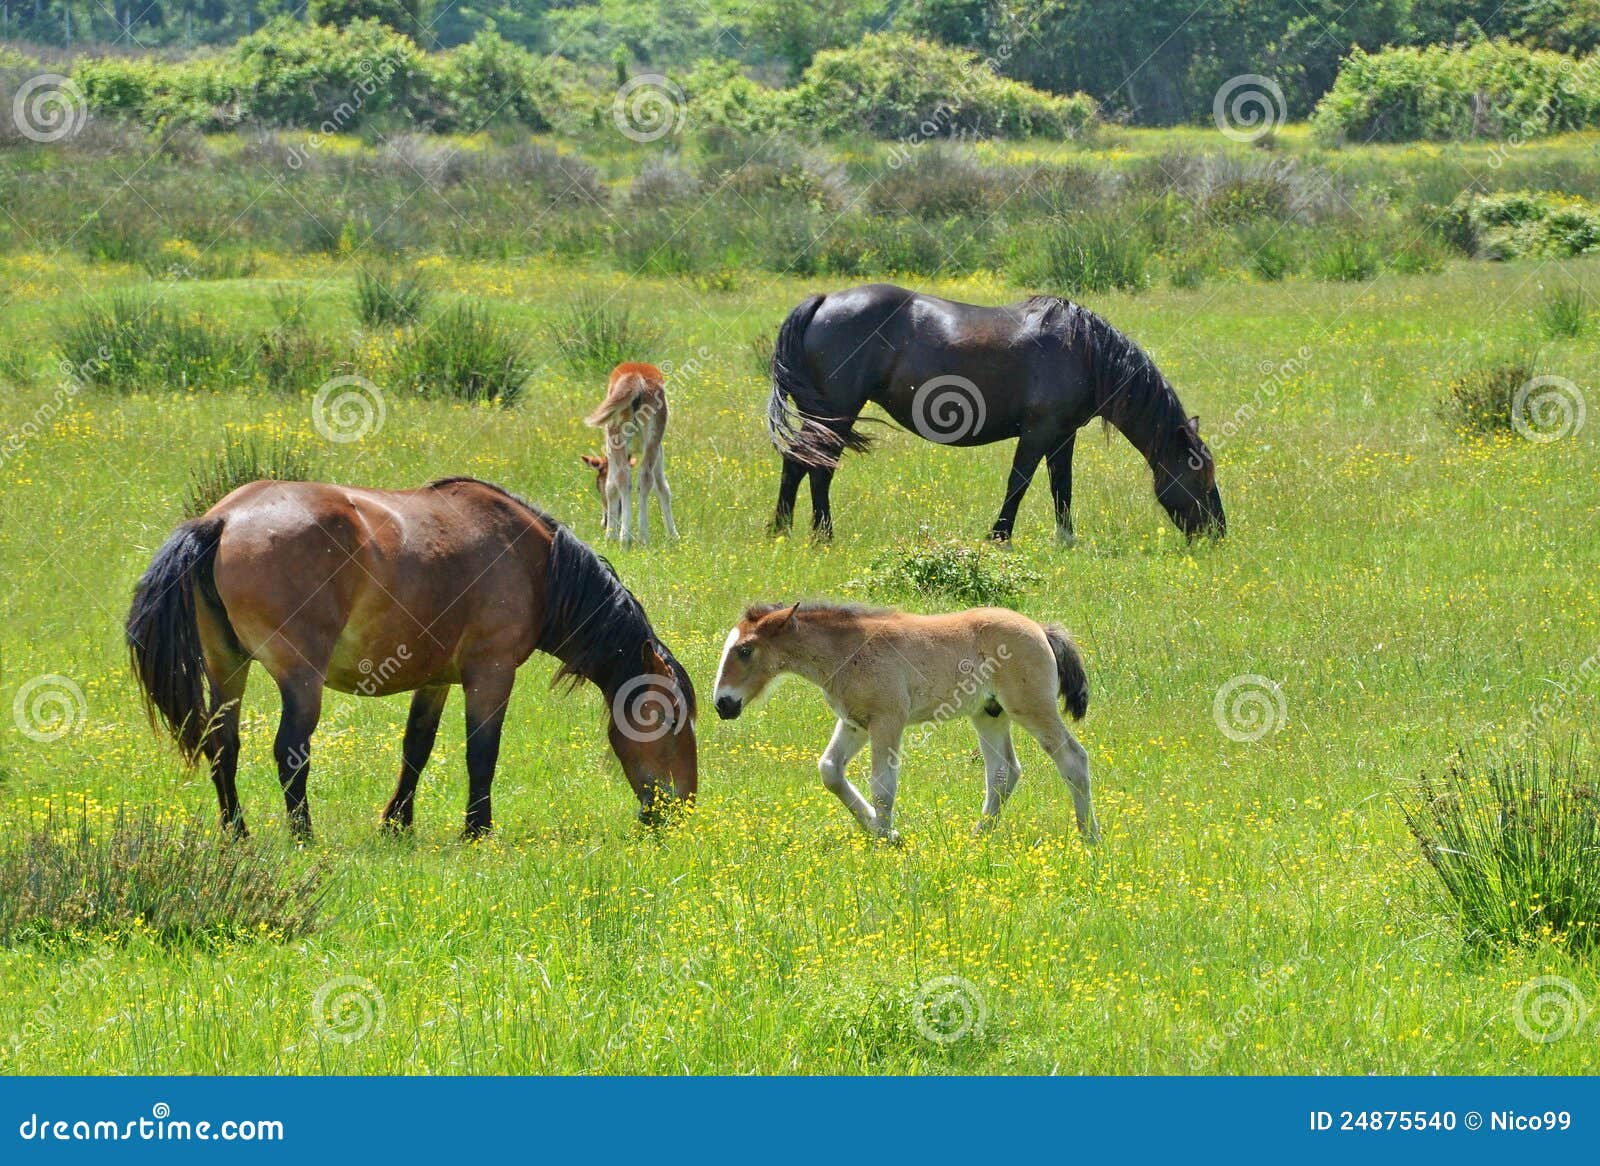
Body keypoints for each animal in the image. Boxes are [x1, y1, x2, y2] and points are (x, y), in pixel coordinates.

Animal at [121, 476, 697, 838]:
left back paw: (237, 833)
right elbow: (482, 752)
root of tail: (222, 520)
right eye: (669, 721)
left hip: (227, 668)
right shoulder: (491, 674)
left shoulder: (436, 679)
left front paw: (397, 824)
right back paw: (303, 836)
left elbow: (416, 748)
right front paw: (477, 830)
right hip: (300, 679)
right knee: (289, 752)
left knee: (224, 746)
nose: (683, 807)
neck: (538, 566)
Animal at [768, 281, 1228, 540]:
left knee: (797, 463)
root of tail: (823, 302)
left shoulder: (1063, 436)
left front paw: (1067, 541)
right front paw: (999, 537)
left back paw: (780, 532)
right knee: (819, 468)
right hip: (837, 414)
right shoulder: (1038, 433)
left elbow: (1062, 488)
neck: (1085, 352)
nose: (1218, 534)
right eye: (1200, 476)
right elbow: (1018, 484)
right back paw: (823, 536)